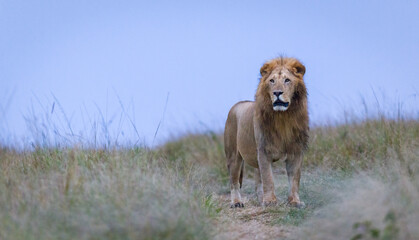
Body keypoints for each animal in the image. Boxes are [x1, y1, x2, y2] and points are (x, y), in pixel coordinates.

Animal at [225, 56, 310, 208]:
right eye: (272, 81)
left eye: (287, 80)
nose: (277, 93)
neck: (283, 117)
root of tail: (236, 105)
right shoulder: (264, 151)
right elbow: (268, 178)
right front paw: (270, 201)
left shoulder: (296, 151)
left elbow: (294, 180)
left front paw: (294, 202)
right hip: (233, 155)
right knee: (234, 182)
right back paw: (237, 202)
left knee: (257, 183)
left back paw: (260, 200)